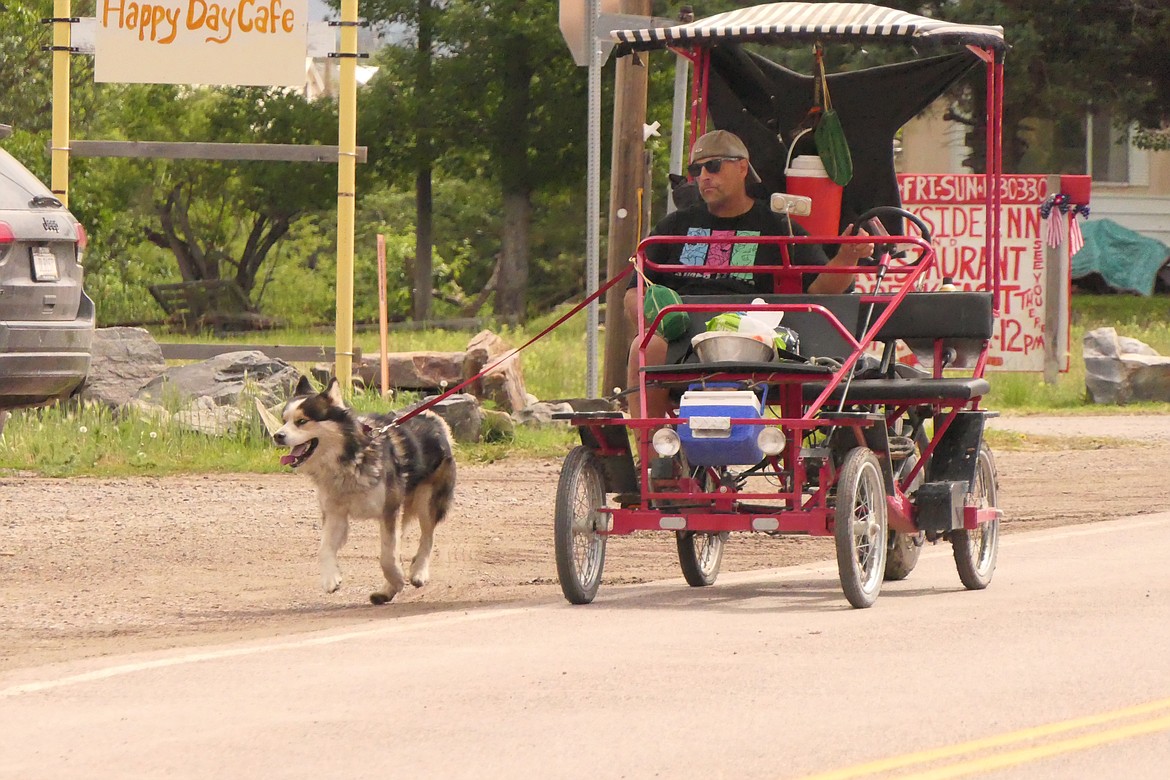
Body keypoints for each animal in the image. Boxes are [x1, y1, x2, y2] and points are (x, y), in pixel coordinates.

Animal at [270, 376, 456, 603]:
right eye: (284, 420)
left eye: (302, 421)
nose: (277, 435)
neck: (349, 459)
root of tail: (434, 418)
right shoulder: (335, 514)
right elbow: (324, 548)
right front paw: (330, 578)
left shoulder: (389, 510)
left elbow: (387, 556)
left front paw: (397, 579)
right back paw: (386, 591)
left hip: (426, 500)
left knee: (427, 537)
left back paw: (418, 571)